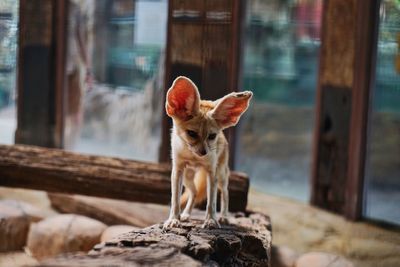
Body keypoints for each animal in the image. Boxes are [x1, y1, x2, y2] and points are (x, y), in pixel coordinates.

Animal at [163, 76, 253, 229]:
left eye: (212, 136)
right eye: (192, 134)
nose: (204, 152)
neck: (194, 157)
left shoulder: (212, 172)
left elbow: (212, 201)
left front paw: (211, 220)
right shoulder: (177, 170)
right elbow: (175, 199)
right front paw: (174, 219)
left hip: (221, 175)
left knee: (225, 193)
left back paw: (224, 216)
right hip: (187, 177)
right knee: (193, 192)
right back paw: (185, 214)